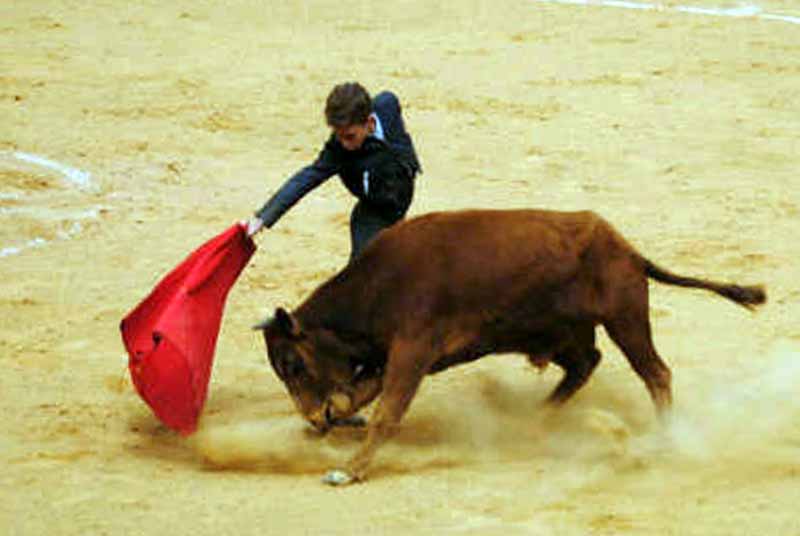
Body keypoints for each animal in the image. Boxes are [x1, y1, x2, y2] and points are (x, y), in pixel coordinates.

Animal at [253, 209, 764, 486]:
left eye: (292, 363)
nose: (313, 418)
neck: (380, 284)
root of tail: (628, 250)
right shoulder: (406, 356)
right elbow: (366, 395)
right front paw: (340, 424)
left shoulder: (414, 349)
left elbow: (386, 412)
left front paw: (348, 470)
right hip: (563, 331)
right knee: (586, 364)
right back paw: (535, 421)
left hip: (626, 319)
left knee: (655, 373)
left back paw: (665, 440)